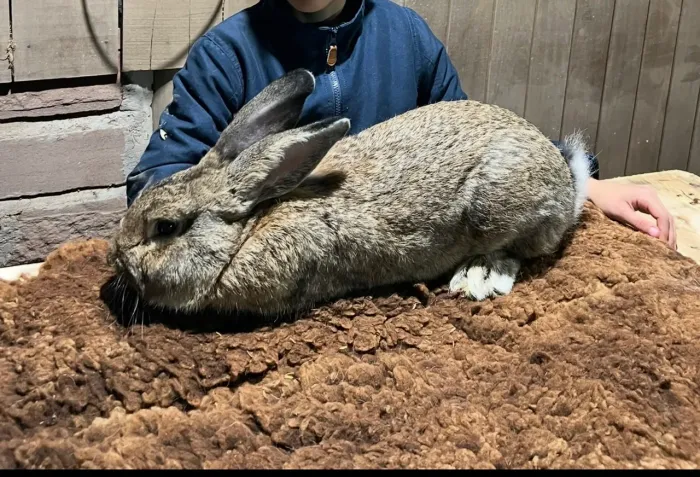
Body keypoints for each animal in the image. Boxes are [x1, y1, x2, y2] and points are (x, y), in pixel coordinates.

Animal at [108, 68, 590, 316]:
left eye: (166, 227)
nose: (116, 255)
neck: (251, 226)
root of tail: (568, 181)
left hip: (500, 207)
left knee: (519, 249)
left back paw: (478, 276)